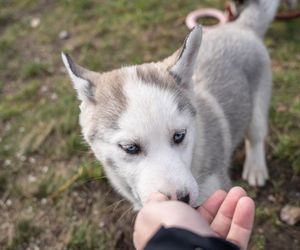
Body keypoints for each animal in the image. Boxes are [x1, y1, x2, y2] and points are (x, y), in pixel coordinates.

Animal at [61, 0, 282, 209]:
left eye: (179, 136)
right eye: (130, 148)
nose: (180, 199)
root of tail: (240, 26)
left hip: (259, 105)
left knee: (256, 136)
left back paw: (255, 167)